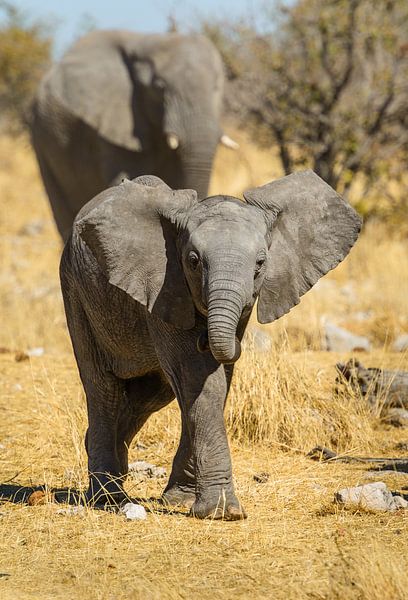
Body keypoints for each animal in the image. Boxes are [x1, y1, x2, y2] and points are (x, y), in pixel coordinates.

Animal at [60, 171, 360, 516]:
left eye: (260, 263)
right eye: (193, 261)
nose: (206, 337)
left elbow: (212, 382)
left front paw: (181, 500)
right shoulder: (165, 285)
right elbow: (198, 378)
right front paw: (223, 512)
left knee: (152, 393)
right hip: (75, 290)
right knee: (103, 388)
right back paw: (108, 498)